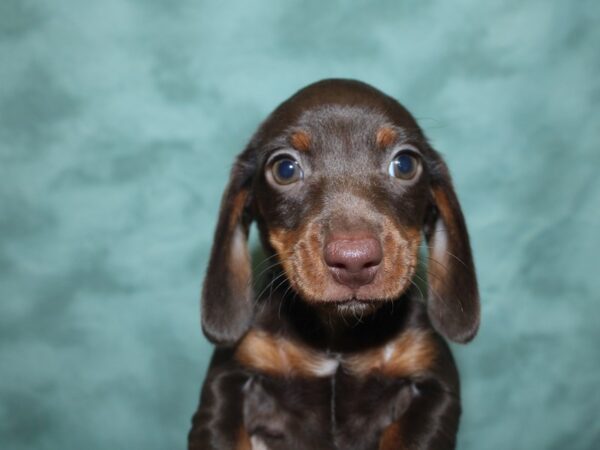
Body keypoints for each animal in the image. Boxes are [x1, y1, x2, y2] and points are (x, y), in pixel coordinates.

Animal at [190, 79, 480, 448]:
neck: (338, 338)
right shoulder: (230, 380)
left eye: (404, 164)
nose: (354, 261)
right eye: (285, 168)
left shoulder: (431, 386)